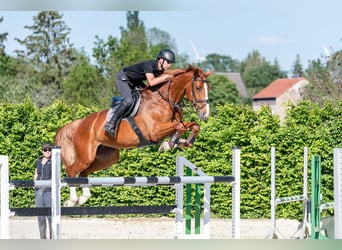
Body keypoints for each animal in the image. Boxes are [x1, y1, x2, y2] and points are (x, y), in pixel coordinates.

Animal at [54, 65, 211, 207]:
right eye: (198, 88)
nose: (205, 114)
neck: (164, 100)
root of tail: (79, 123)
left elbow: (192, 126)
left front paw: (184, 142)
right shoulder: (154, 131)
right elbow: (180, 127)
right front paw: (168, 145)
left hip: (107, 157)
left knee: (83, 173)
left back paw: (83, 198)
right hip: (85, 156)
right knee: (71, 171)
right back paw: (72, 200)